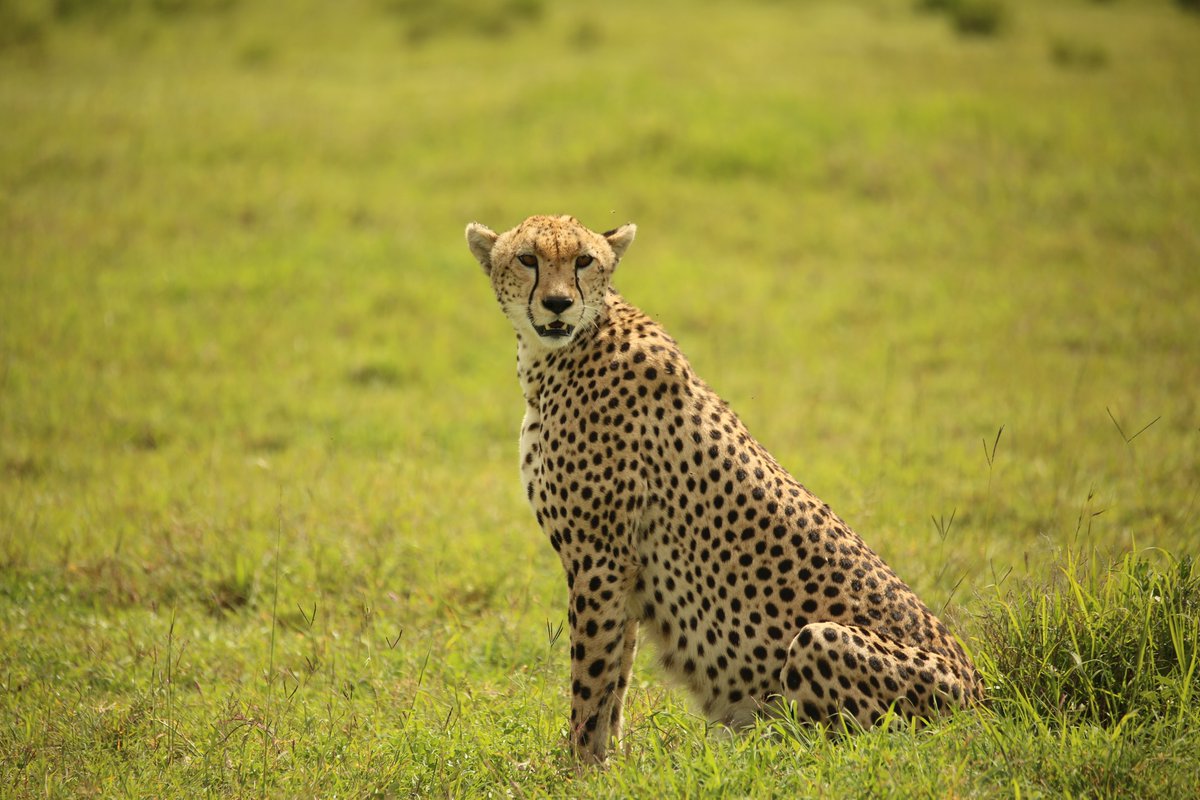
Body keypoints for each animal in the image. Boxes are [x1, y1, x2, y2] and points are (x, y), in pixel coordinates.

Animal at [465, 214, 984, 764]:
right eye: (528, 259)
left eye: (584, 260)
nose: (559, 303)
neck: (560, 353)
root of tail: (984, 696)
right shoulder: (623, 567)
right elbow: (615, 678)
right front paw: (611, 763)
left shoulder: (601, 557)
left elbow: (590, 678)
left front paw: (577, 767)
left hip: (820, 640)